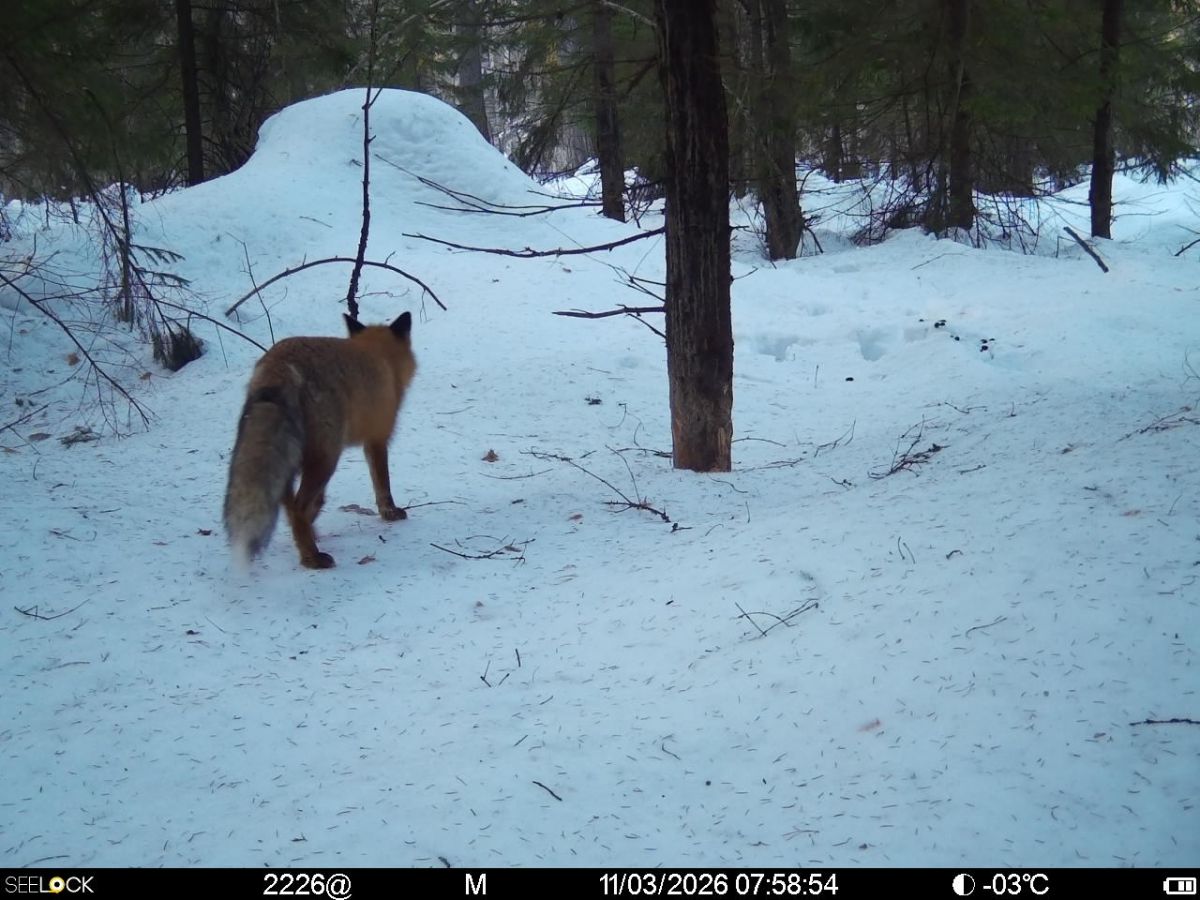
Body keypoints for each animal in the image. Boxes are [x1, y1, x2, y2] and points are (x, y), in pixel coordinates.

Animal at [223, 311, 416, 570]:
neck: (378, 356)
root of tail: (279, 366)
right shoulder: (376, 438)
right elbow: (382, 484)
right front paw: (390, 512)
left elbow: (320, 500)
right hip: (327, 456)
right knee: (298, 506)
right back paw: (311, 557)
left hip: (293, 456)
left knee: (289, 504)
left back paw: (306, 543)